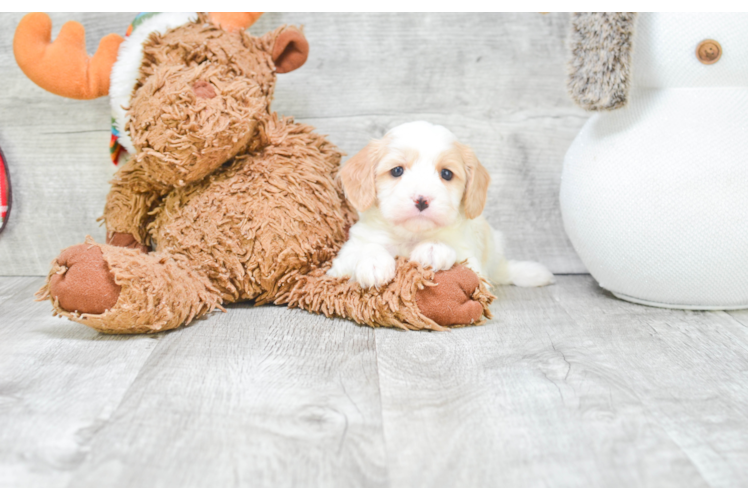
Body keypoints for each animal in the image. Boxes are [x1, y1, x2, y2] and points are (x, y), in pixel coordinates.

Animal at [328, 120, 556, 290]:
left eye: (446, 173)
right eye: (397, 171)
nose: (422, 199)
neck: (411, 237)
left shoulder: (472, 263)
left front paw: (433, 249)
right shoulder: (340, 262)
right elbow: (366, 248)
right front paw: (373, 262)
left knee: (502, 270)